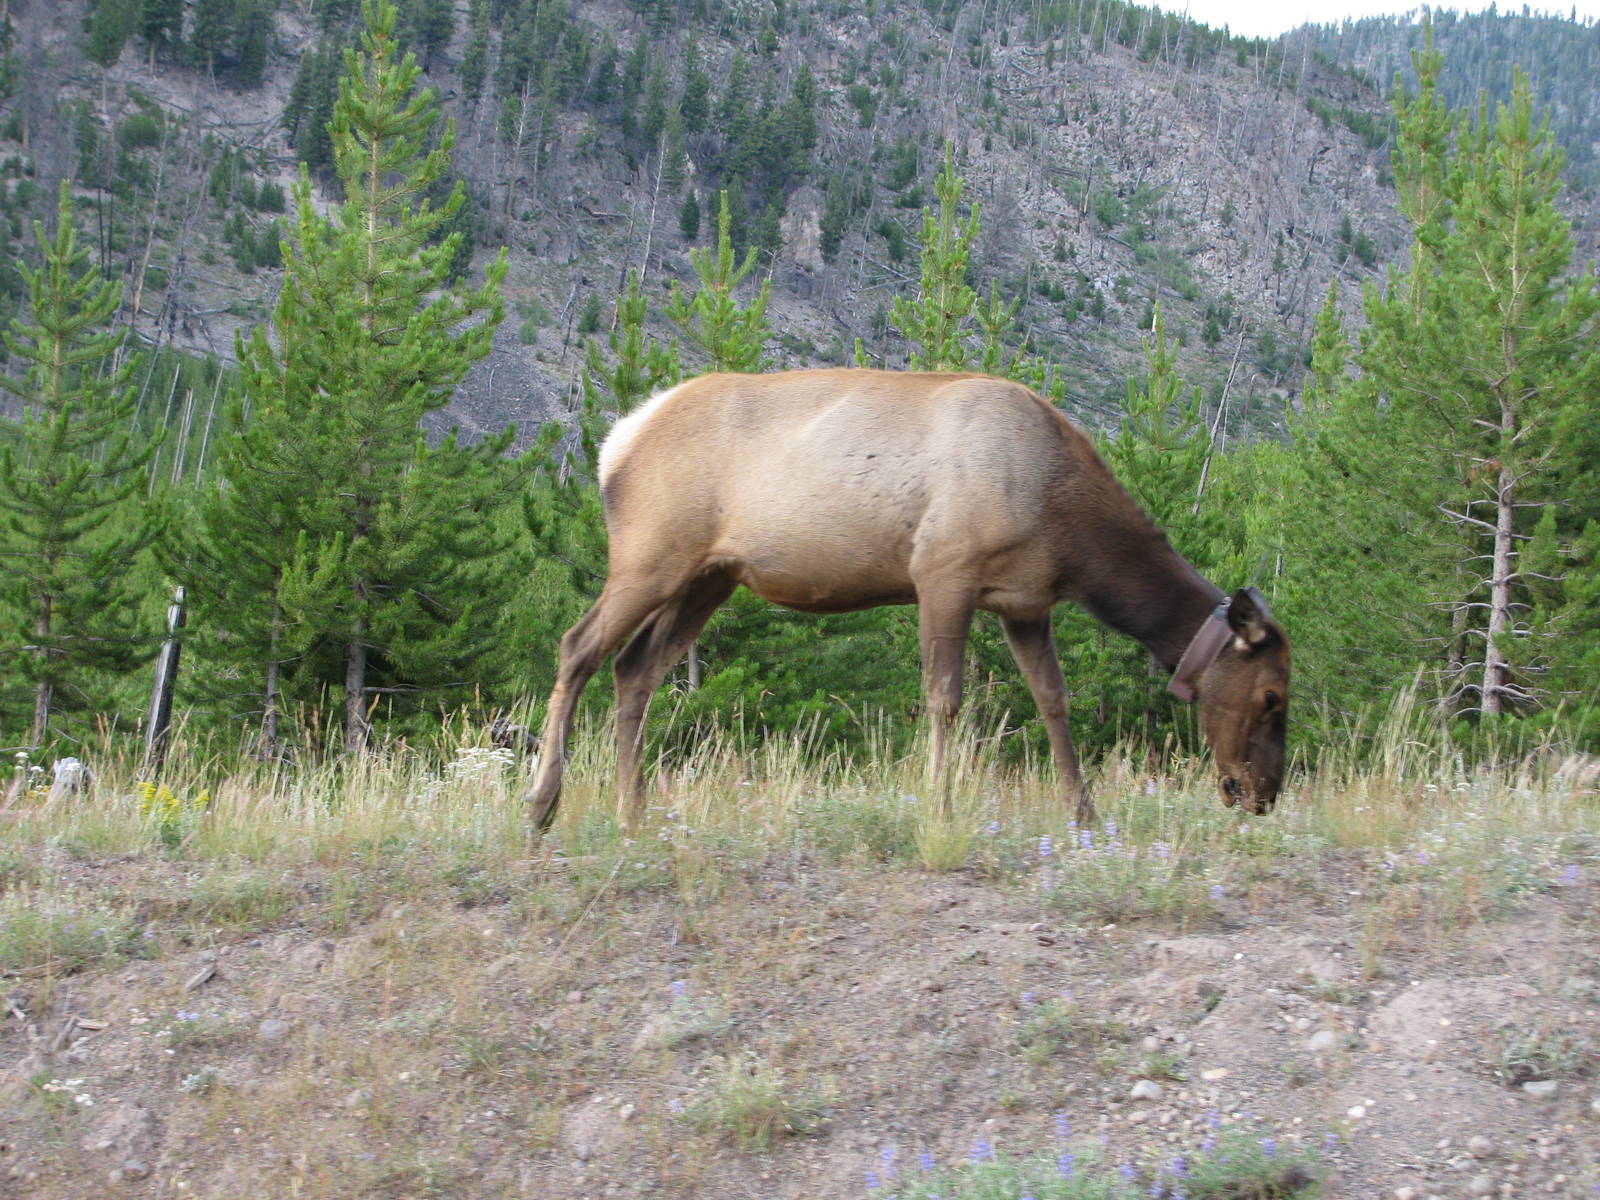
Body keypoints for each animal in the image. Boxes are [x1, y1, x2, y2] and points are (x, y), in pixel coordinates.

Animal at [526, 368, 1291, 831]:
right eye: (1271, 696)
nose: (1263, 793)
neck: (1065, 518)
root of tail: (614, 444)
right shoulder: (943, 570)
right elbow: (945, 700)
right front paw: (941, 809)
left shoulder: (1025, 603)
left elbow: (1053, 700)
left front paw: (1085, 815)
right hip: (651, 556)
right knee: (577, 647)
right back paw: (542, 804)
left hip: (708, 578)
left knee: (634, 669)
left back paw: (632, 814)